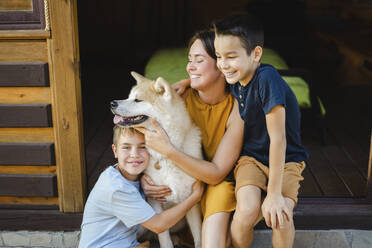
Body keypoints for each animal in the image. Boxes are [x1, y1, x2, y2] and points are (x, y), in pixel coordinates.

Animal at [110, 71, 203, 248]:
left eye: (138, 100)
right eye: (128, 96)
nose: (112, 103)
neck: (167, 155)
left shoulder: (191, 201)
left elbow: (198, 237)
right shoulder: (155, 202)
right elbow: (164, 237)